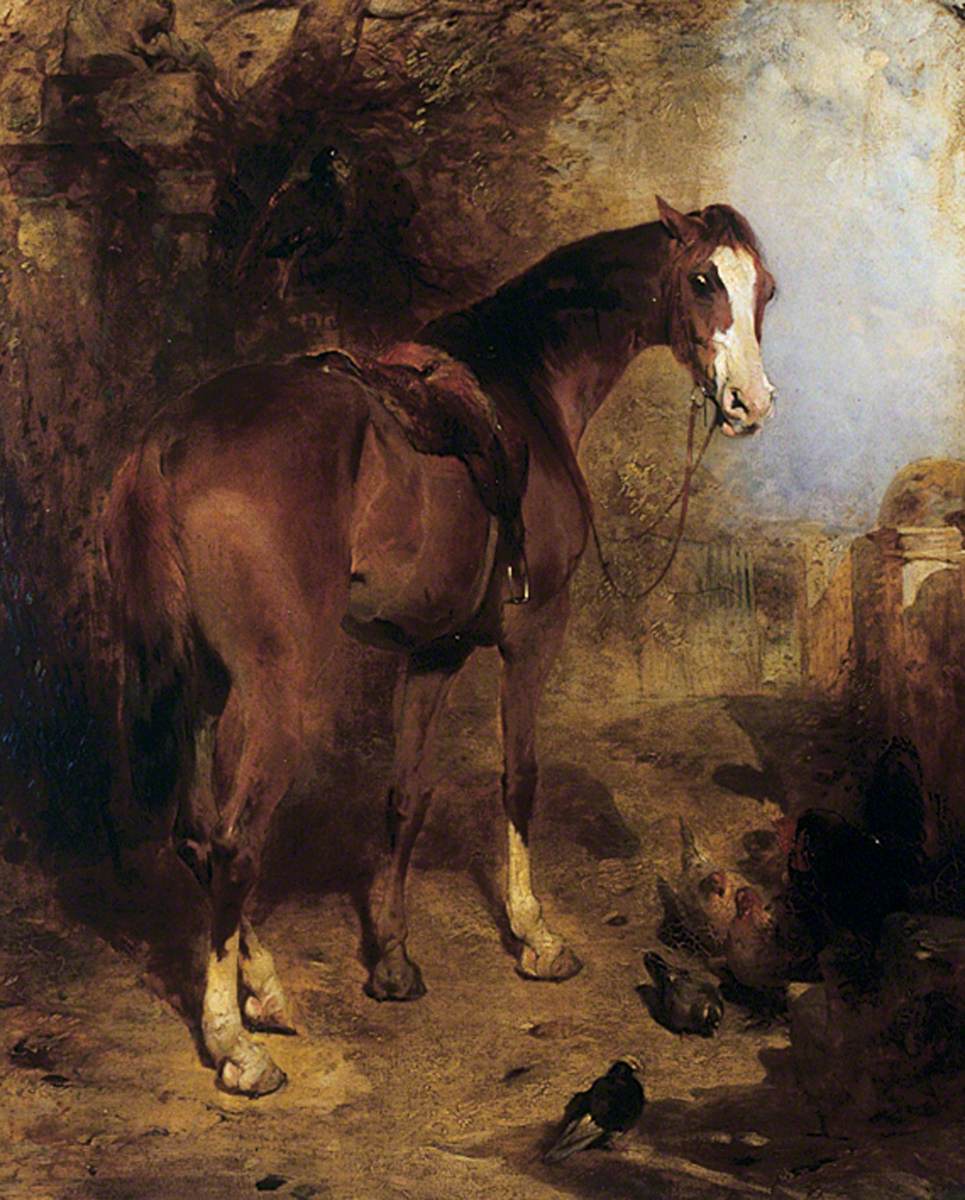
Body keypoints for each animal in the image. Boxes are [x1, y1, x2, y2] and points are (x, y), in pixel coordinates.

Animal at [103, 196, 777, 1095]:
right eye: (703, 279)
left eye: (764, 289)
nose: (750, 404)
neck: (521, 384)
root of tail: (165, 445)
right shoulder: (535, 630)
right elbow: (518, 779)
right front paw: (535, 937)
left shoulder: (431, 653)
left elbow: (404, 797)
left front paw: (391, 962)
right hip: (271, 689)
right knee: (235, 845)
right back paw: (234, 1045)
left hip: (201, 689)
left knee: (197, 836)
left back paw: (265, 989)